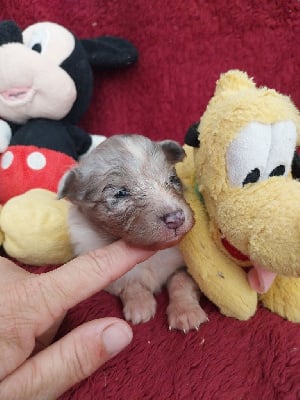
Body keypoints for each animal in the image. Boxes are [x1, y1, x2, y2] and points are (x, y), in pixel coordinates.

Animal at [59, 134, 209, 332]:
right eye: (120, 194)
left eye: (172, 179)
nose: (176, 218)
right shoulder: (110, 277)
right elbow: (130, 284)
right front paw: (140, 306)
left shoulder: (185, 266)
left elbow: (181, 281)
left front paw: (186, 313)